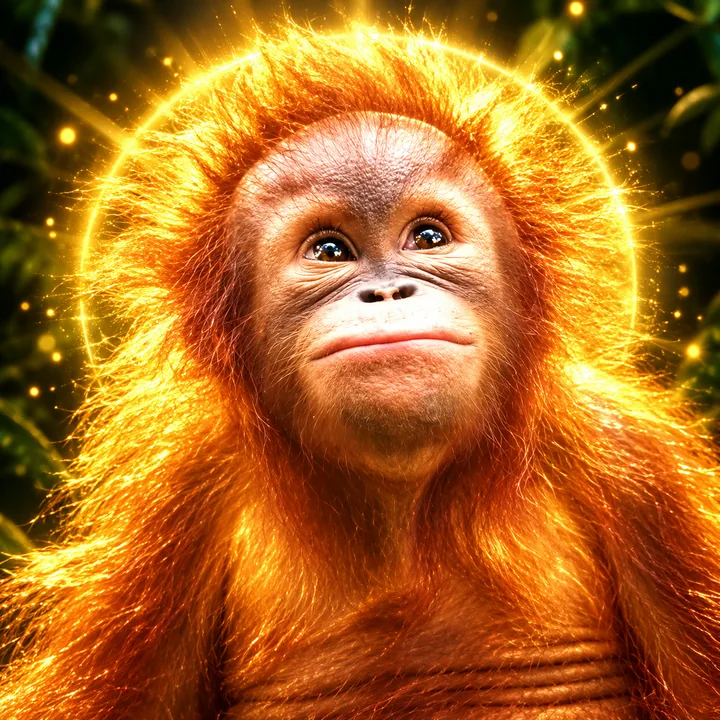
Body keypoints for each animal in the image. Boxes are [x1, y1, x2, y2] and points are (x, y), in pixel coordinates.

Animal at [1, 24, 720, 720]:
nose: (387, 292)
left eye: (427, 237)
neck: (405, 510)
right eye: (330, 251)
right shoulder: (173, 508)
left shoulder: (634, 466)